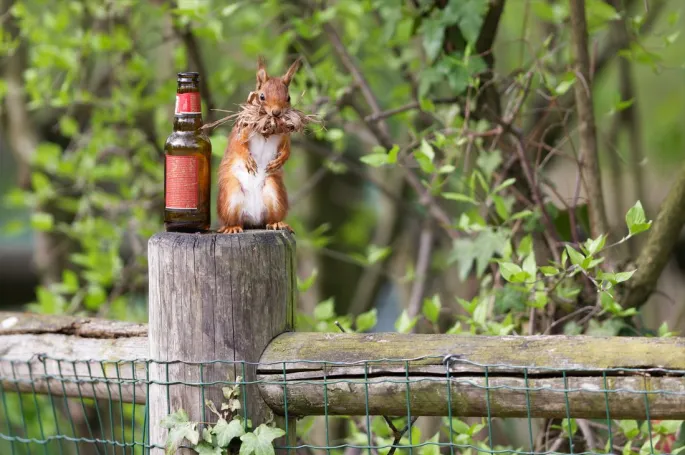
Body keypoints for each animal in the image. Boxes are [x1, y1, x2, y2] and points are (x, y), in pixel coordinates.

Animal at [214, 56, 300, 235]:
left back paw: (277, 223)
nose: (276, 113)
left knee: (271, 218)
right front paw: (247, 159)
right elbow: (238, 145)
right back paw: (232, 227)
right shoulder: (241, 130)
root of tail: (252, 219)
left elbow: (287, 148)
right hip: (230, 194)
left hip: (274, 190)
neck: (267, 128)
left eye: (288, 98)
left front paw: (282, 159)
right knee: (233, 218)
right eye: (261, 96)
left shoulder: (284, 135)